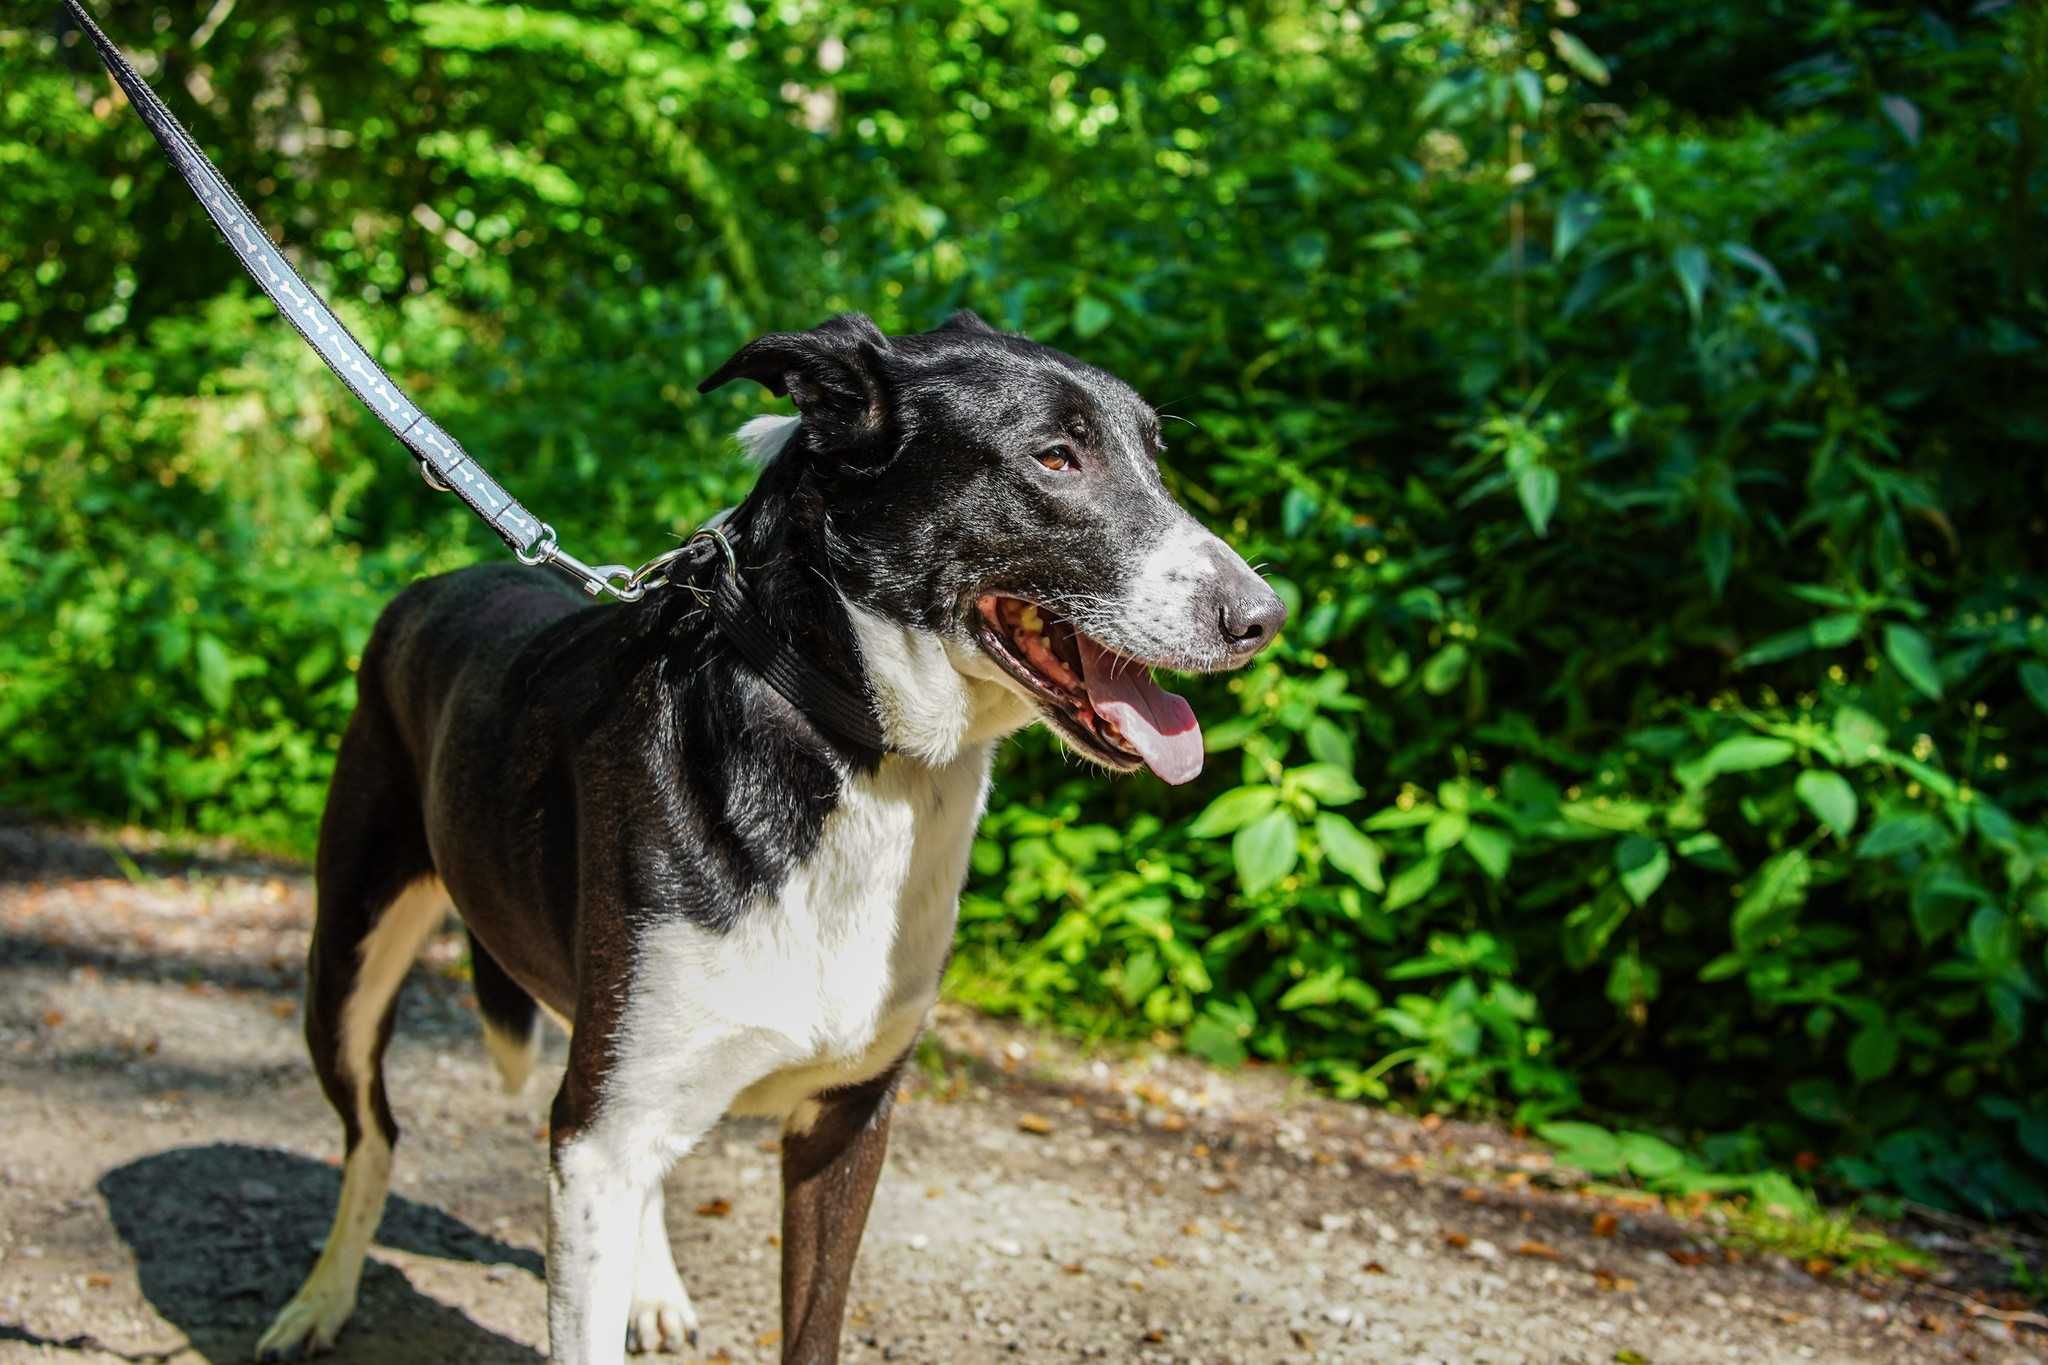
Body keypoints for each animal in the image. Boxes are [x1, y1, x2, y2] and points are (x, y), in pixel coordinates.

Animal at [251, 313, 1277, 1365]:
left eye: (1156, 458)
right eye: (1055, 457)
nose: (1262, 619)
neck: (856, 751)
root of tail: (438, 583)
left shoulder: (846, 1119)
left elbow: (810, 1323)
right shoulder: (594, 1143)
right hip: (347, 966)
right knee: (374, 1136)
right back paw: (320, 1298)